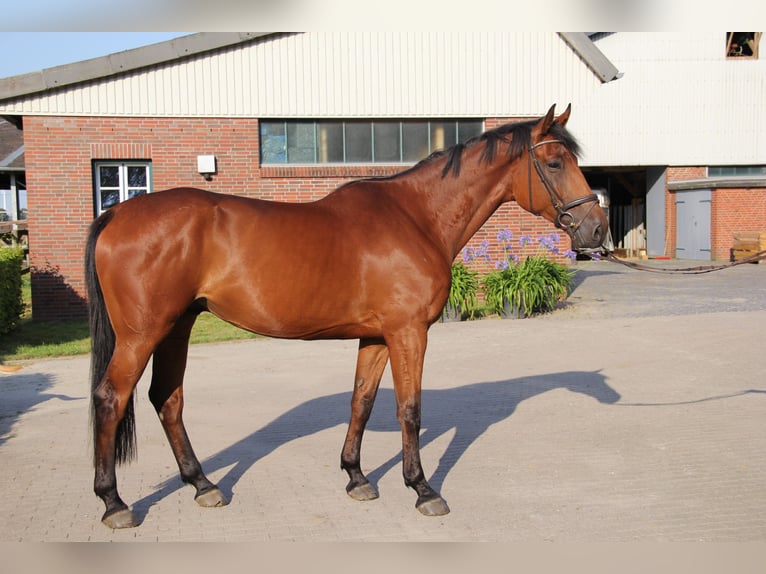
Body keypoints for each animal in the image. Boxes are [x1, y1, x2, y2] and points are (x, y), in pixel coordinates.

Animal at [87, 104, 608, 532]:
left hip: (177, 327)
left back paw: (203, 485)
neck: (416, 217)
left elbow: (362, 401)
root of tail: (118, 214)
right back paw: (114, 503)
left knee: (167, 399)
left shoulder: (377, 337)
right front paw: (422, 489)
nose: (597, 230)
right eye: (556, 163)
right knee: (111, 398)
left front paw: (356, 477)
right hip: (142, 334)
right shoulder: (408, 333)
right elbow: (410, 409)